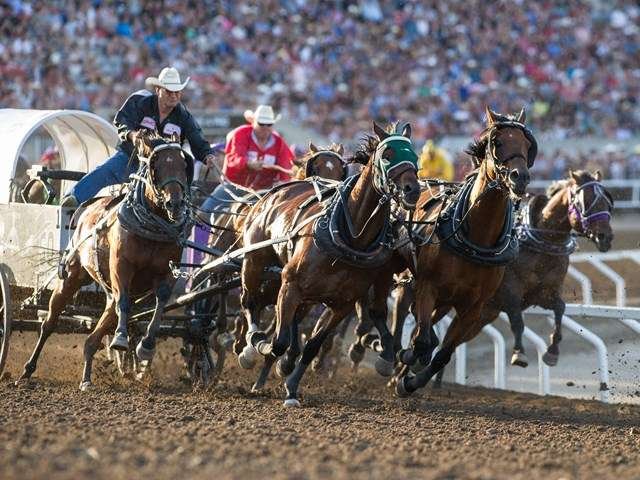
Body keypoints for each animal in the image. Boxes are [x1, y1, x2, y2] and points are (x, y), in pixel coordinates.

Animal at [16, 131, 192, 390]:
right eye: (156, 165)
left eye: (184, 164)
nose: (175, 203)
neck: (150, 228)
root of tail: (89, 204)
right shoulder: (121, 267)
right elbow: (125, 303)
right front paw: (120, 338)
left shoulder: (167, 273)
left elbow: (160, 303)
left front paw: (146, 346)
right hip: (71, 276)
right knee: (49, 323)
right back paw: (27, 370)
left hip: (108, 293)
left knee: (94, 335)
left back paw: (87, 377)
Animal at [239, 123, 420, 404]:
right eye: (387, 154)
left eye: (414, 155)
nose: (413, 189)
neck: (349, 238)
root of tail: (273, 194)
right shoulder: (290, 284)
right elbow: (278, 341)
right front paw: (267, 350)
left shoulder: (342, 304)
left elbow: (312, 344)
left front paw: (292, 387)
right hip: (254, 262)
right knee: (249, 302)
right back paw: (250, 348)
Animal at [396, 108, 536, 398]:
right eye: (498, 142)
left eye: (528, 145)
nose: (520, 177)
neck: (475, 240)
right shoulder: (428, 287)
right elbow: (421, 340)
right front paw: (409, 361)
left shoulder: (473, 307)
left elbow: (442, 353)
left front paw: (410, 381)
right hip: (411, 283)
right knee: (407, 315)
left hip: (446, 301)